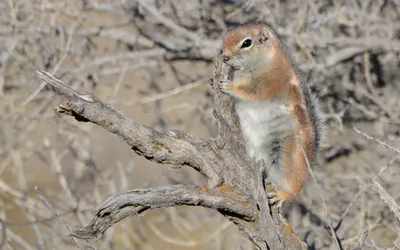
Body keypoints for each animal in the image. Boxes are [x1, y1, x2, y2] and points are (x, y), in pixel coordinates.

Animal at [219, 23, 324, 207]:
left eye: (246, 43)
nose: (225, 57)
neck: (269, 60)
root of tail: (310, 162)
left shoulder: (269, 84)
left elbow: (251, 92)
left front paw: (229, 86)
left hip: (286, 158)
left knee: (296, 188)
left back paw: (282, 195)